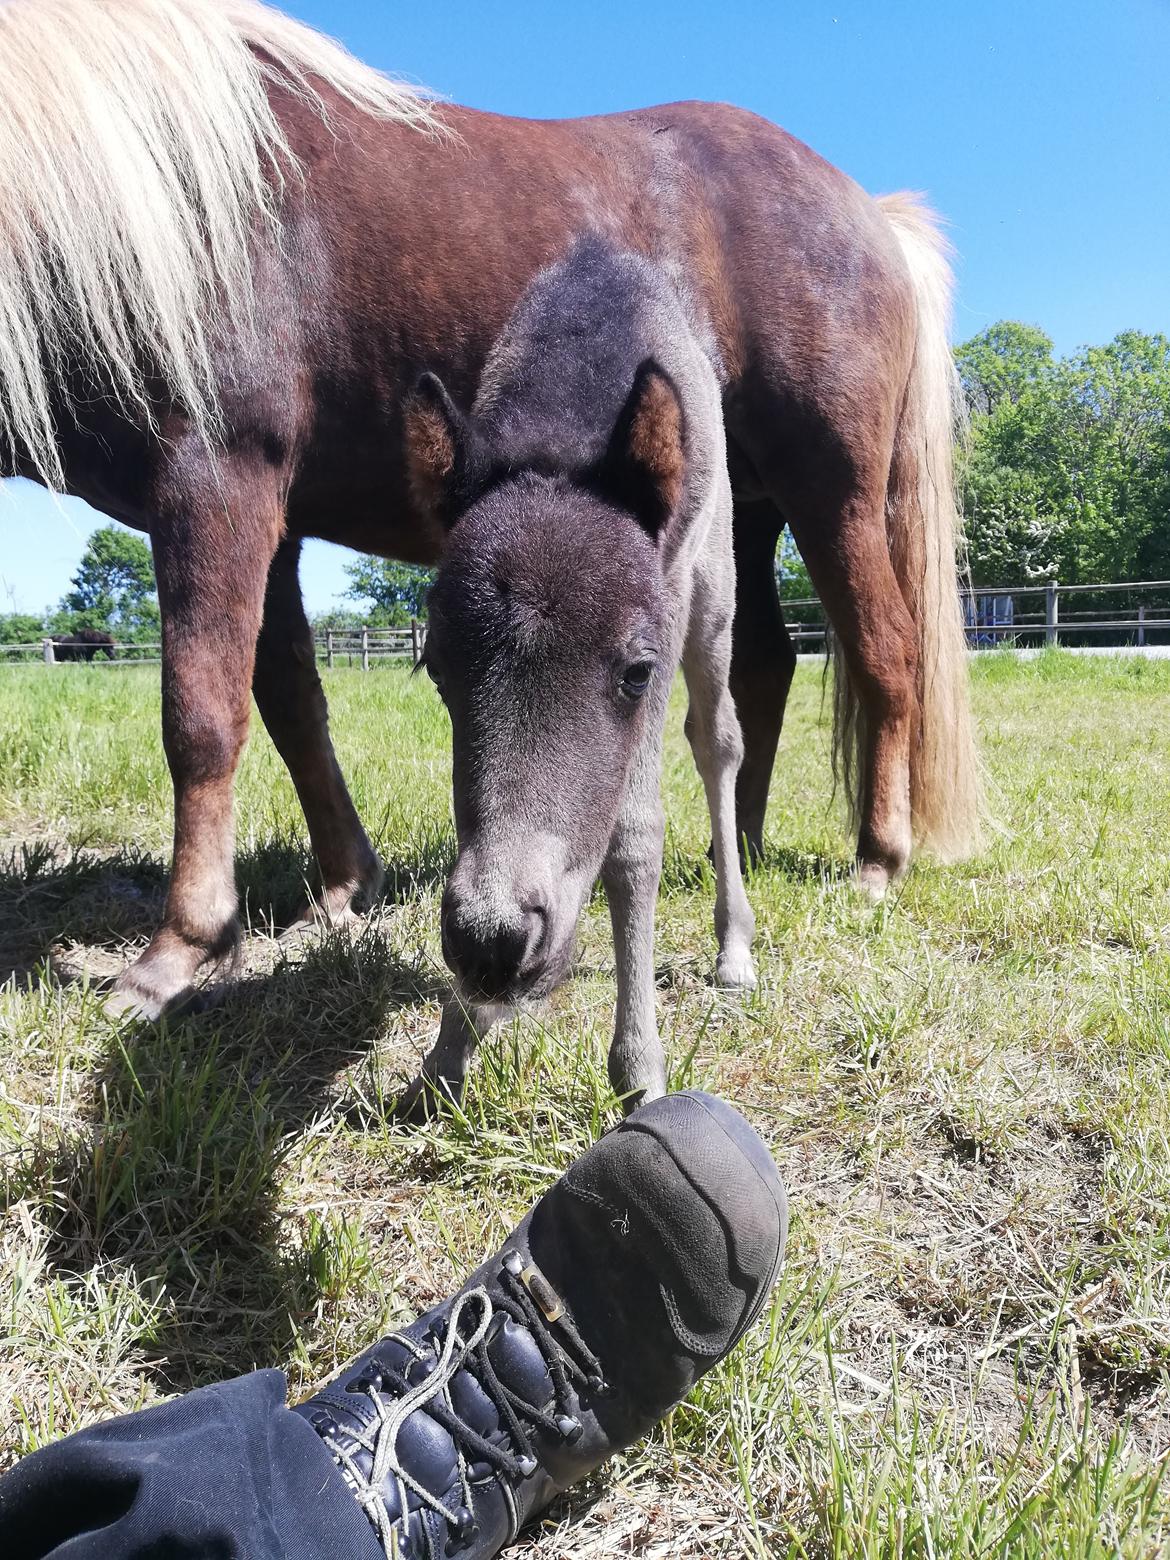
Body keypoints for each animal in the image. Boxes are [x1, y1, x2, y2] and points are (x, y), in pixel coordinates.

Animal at [399, 237, 755, 1116]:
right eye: (437, 671)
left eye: (636, 671)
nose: (494, 940)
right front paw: (448, 1051)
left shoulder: (668, 601)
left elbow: (634, 840)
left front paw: (639, 1068)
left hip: (715, 595)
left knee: (718, 740)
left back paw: (734, 945)